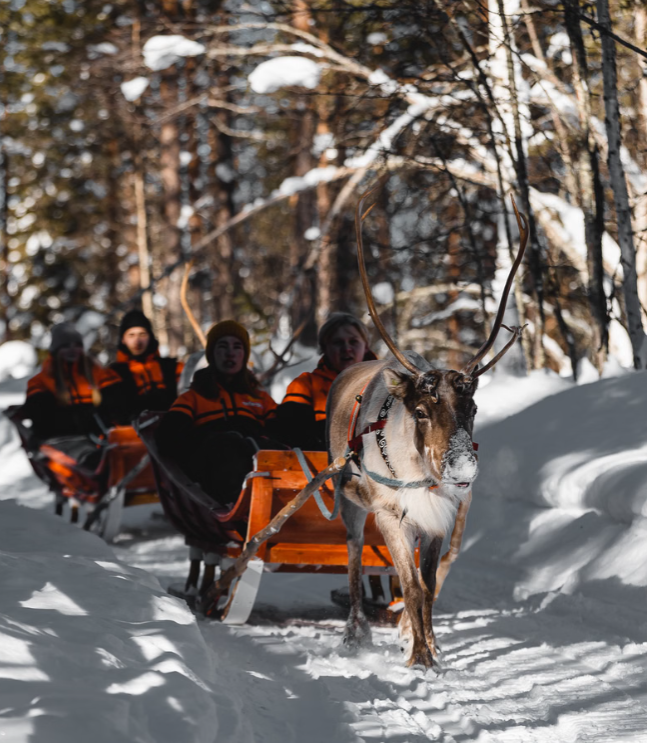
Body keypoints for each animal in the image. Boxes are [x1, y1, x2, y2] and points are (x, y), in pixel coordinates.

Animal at [326, 185, 528, 668]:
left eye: (472, 407)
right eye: (420, 411)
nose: (461, 469)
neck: (420, 472)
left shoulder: (440, 518)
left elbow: (430, 587)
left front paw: (431, 646)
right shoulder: (390, 514)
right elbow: (412, 587)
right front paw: (420, 658)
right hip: (350, 503)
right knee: (354, 557)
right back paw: (354, 633)